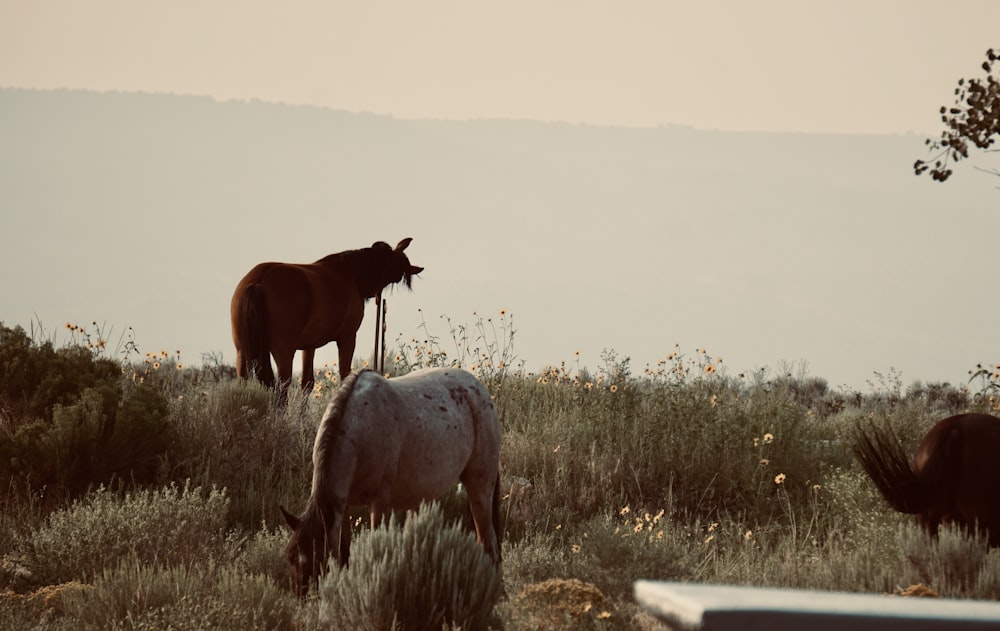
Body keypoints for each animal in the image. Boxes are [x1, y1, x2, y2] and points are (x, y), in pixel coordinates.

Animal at [230, 239, 422, 398]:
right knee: (282, 388)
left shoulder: (309, 346)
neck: (353, 274)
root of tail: (257, 282)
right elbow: (344, 374)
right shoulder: (347, 337)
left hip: (242, 351)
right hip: (283, 352)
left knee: (244, 382)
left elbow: (307, 383)